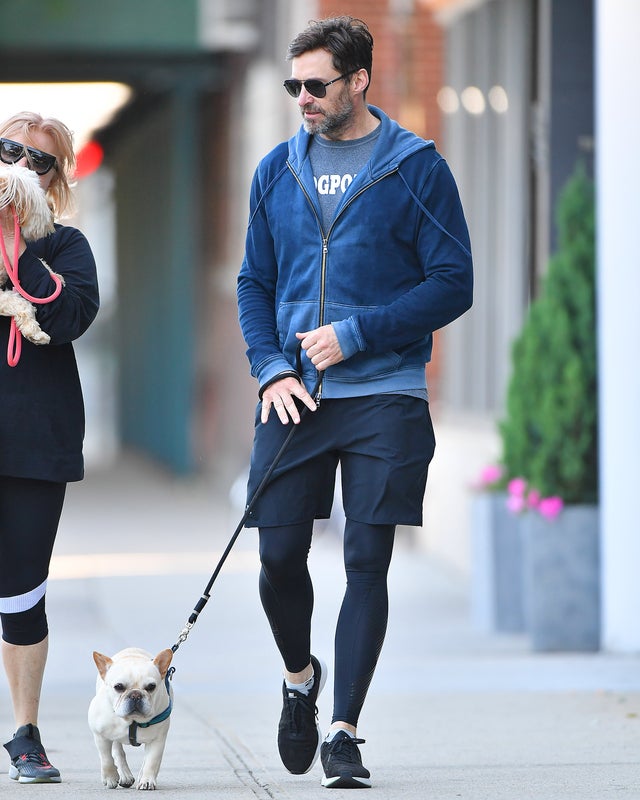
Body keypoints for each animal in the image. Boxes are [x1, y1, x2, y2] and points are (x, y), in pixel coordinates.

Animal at [89, 648, 175, 792]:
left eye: (151, 686)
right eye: (118, 687)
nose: (135, 694)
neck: (132, 721)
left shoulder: (158, 739)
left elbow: (152, 761)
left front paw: (147, 780)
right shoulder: (100, 735)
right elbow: (106, 758)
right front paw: (110, 778)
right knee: (117, 751)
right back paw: (125, 775)